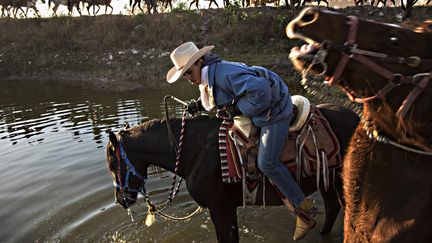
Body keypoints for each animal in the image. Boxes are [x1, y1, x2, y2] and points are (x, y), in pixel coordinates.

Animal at [105, 104, 358, 241]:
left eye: (112, 164)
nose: (121, 200)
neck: (195, 150)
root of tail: (355, 117)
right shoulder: (227, 207)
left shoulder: (218, 208)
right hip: (327, 180)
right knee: (333, 209)